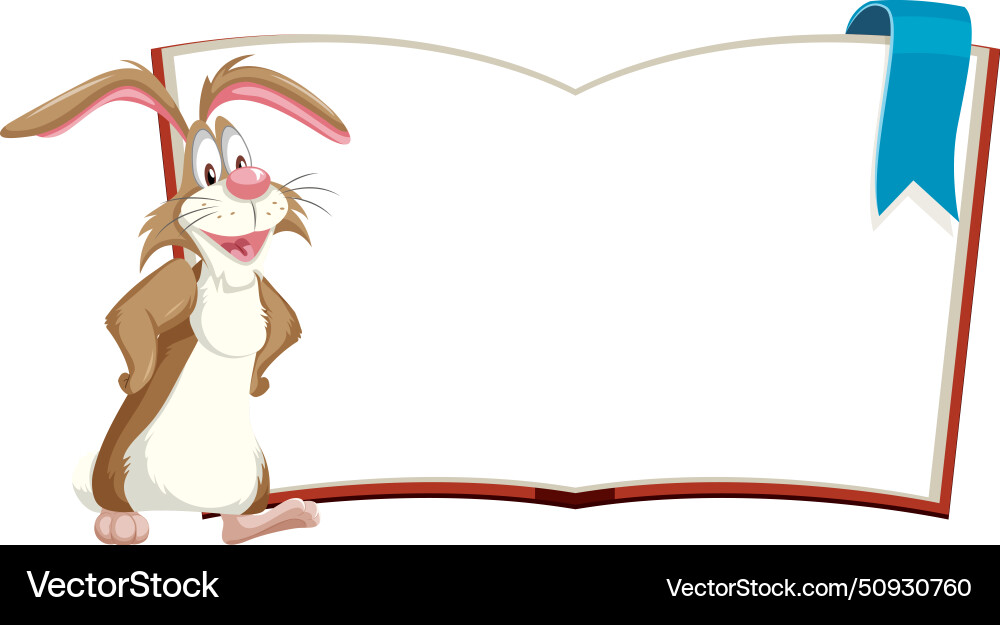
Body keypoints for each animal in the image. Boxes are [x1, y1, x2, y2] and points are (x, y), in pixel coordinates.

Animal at [2, 55, 350, 544]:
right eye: (208, 172)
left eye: (241, 158)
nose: (250, 181)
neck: (231, 282)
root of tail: (174, 509)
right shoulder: (176, 283)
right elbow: (127, 315)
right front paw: (135, 378)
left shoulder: (268, 296)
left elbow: (288, 327)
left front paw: (256, 380)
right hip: (115, 471)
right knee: (117, 504)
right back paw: (119, 522)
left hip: (254, 474)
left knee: (232, 531)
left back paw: (283, 515)